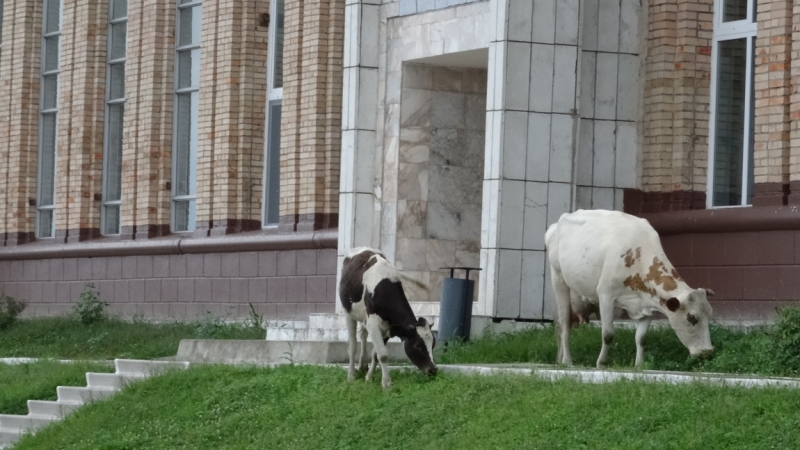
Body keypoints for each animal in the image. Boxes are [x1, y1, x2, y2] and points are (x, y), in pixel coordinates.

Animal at [338, 248, 438, 388]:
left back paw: (363, 366)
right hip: (348, 312)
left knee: (363, 334)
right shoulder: (373, 324)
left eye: (433, 344)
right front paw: (386, 383)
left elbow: (376, 354)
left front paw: (369, 378)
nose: (433, 370)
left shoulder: (387, 327)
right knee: (352, 346)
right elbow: (383, 355)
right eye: (417, 345)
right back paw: (351, 376)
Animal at [548, 209, 716, 368]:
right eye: (691, 317)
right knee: (565, 325)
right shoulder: (606, 296)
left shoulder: (647, 304)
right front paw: (601, 363)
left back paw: (559, 360)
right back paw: (567, 360)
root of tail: (554, 227)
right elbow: (608, 334)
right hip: (558, 279)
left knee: (561, 326)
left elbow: (641, 338)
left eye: (709, 314)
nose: (707, 352)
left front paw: (639, 364)